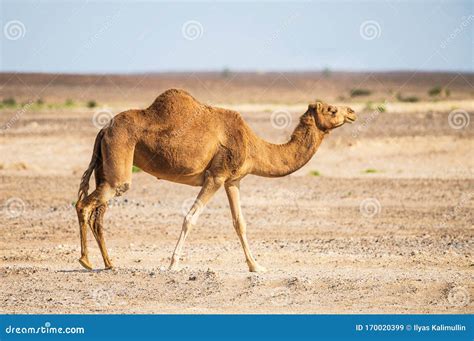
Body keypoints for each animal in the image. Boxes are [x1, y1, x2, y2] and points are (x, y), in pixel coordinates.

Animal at [75, 87, 356, 270]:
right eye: (332, 110)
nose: (353, 112)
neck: (252, 144)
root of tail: (104, 129)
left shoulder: (233, 181)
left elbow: (240, 223)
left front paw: (256, 266)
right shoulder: (216, 176)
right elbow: (190, 218)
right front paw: (173, 264)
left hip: (106, 169)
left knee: (98, 214)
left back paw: (109, 264)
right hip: (119, 165)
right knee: (84, 205)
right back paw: (86, 261)